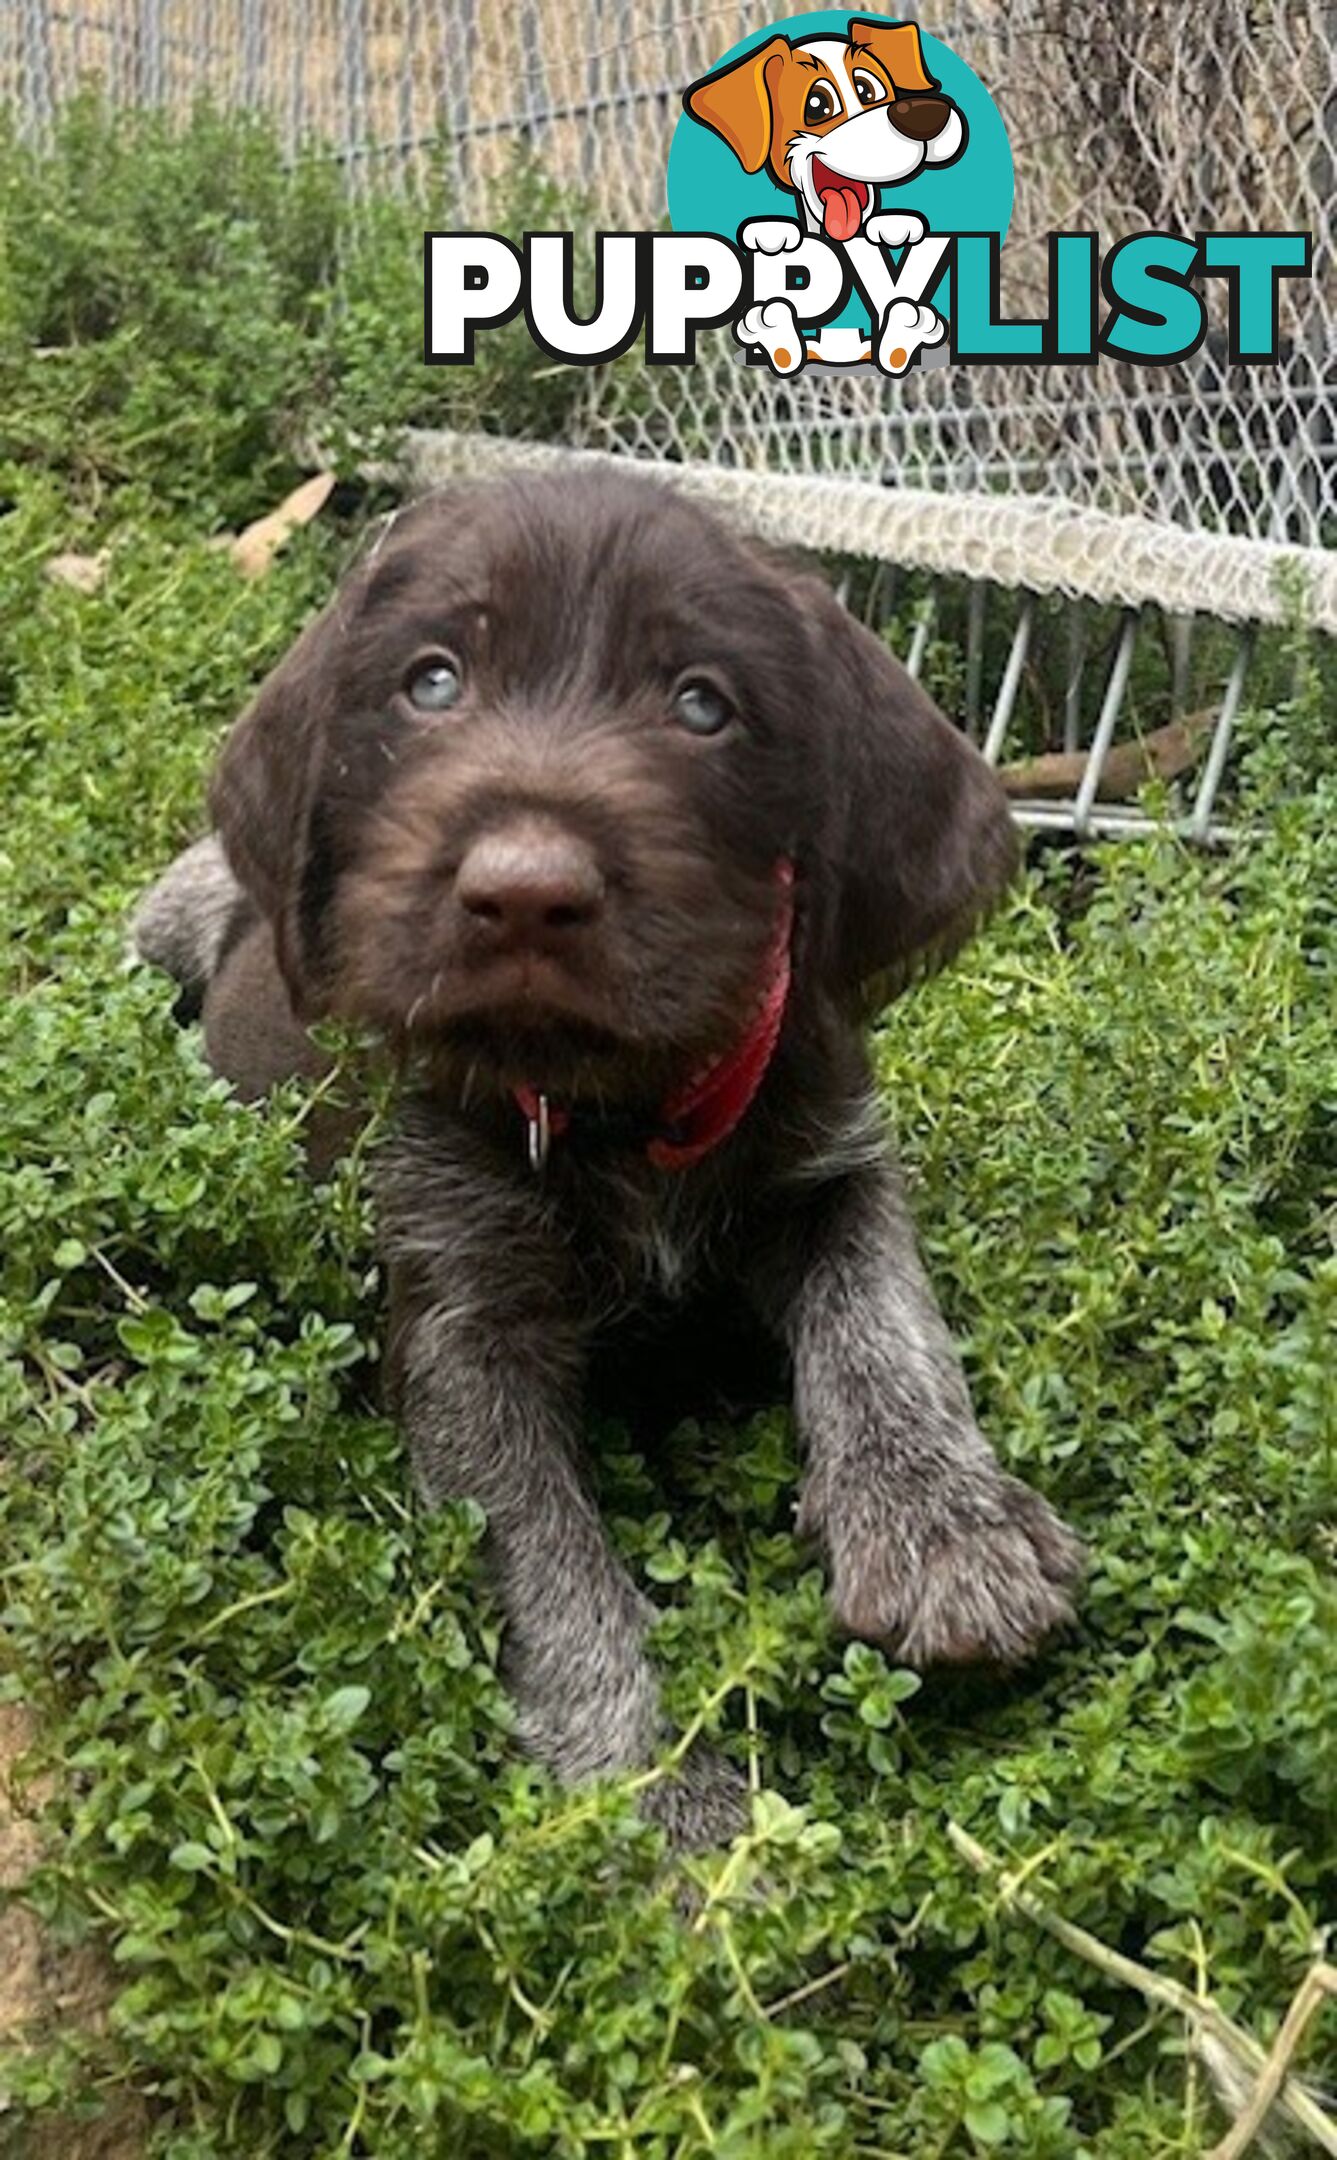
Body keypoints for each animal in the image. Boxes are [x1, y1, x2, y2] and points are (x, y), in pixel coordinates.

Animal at [130, 468, 1084, 1840]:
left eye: (701, 703)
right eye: (431, 682)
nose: (523, 892)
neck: (619, 1102)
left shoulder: (832, 1165)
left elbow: (884, 1326)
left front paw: (941, 1522)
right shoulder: (464, 1330)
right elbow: (549, 1562)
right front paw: (654, 1799)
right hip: (176, 906)